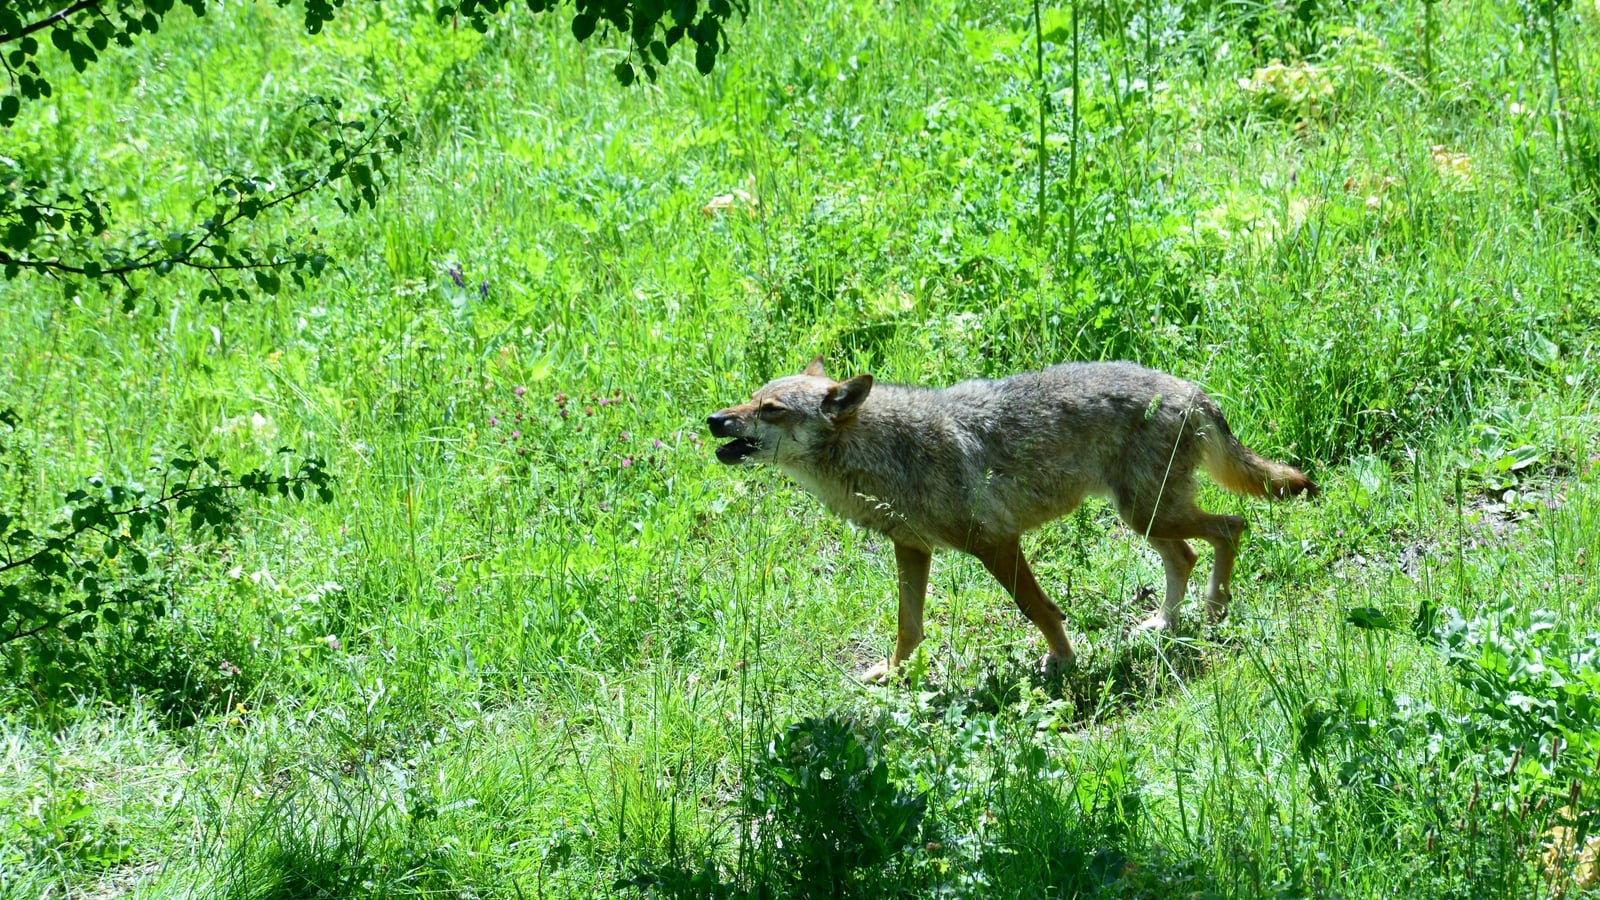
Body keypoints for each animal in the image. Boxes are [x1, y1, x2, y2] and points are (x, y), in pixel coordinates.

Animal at [707, 356, 1315, 681]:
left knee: (1231, 527)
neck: (887, 452)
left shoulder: (996, 543)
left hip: (1150, 515)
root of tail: (1194, 392)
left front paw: (1063, 662)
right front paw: (896, 675)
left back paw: (1214, 612)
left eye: (770, 410)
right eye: (749, 398)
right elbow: (908, 626)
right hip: (1145, 518)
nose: (714, 419)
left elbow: (1038, 609)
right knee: (1189, 555)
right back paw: (1164, 624)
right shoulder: (914, 549)